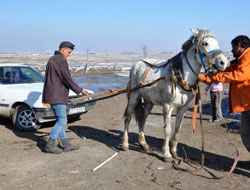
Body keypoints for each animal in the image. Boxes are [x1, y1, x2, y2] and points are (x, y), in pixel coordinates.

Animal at [121, 28, 229, 162]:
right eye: (205, 43)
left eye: (217, 43)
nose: (223, 62)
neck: (180, 76)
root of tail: (136, 65)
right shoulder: (167, 106)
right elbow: (168, 130)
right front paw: (166, 154)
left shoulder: (183, 108)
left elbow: (177, 129)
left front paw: (174, 151)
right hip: (134, 96)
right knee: (128, 117)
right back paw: (125, 144)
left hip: (149, 102)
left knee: (142, 120)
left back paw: (143, 144)